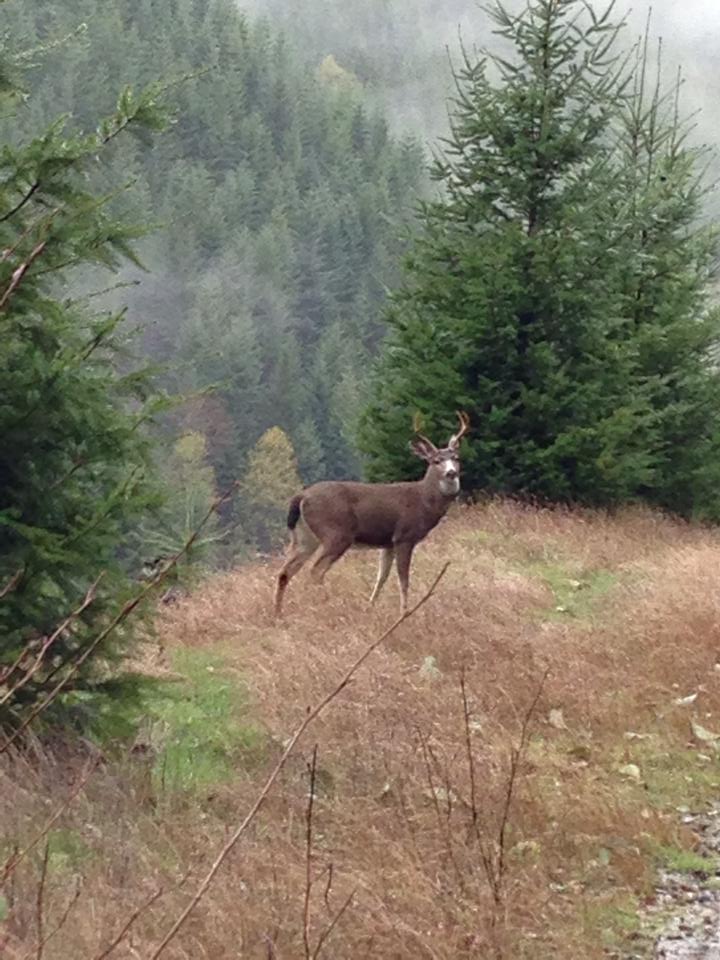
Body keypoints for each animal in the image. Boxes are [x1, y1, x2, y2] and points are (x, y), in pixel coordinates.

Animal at [272, 410, 470, 616]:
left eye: (456, 458)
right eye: (436, 461)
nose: (451, 473)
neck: (424, 500)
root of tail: (301, 496)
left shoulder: (388, 542)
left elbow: (381, 576)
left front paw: (370, 606)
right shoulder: (404, 536)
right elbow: (403, 579)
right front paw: (405, 612)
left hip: (304, 537)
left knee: (285, 572)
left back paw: (278, 614)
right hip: (336, 533)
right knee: (316, 570)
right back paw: (325, 605)